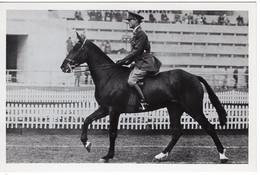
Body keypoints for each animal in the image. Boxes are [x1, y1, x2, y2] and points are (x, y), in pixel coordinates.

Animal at [60, 33, 229, 163]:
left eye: (75, 48)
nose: (63, 67)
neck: (109, 75)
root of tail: (194, 76)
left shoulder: (113, 110)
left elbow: (112, 133)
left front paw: (108, 156)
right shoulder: (104, 109)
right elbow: (87, 120)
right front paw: (87, 143)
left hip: (193, 109)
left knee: (209, 127)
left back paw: (222, 155)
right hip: (174, 108)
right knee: (177, 132)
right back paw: (161, 155)